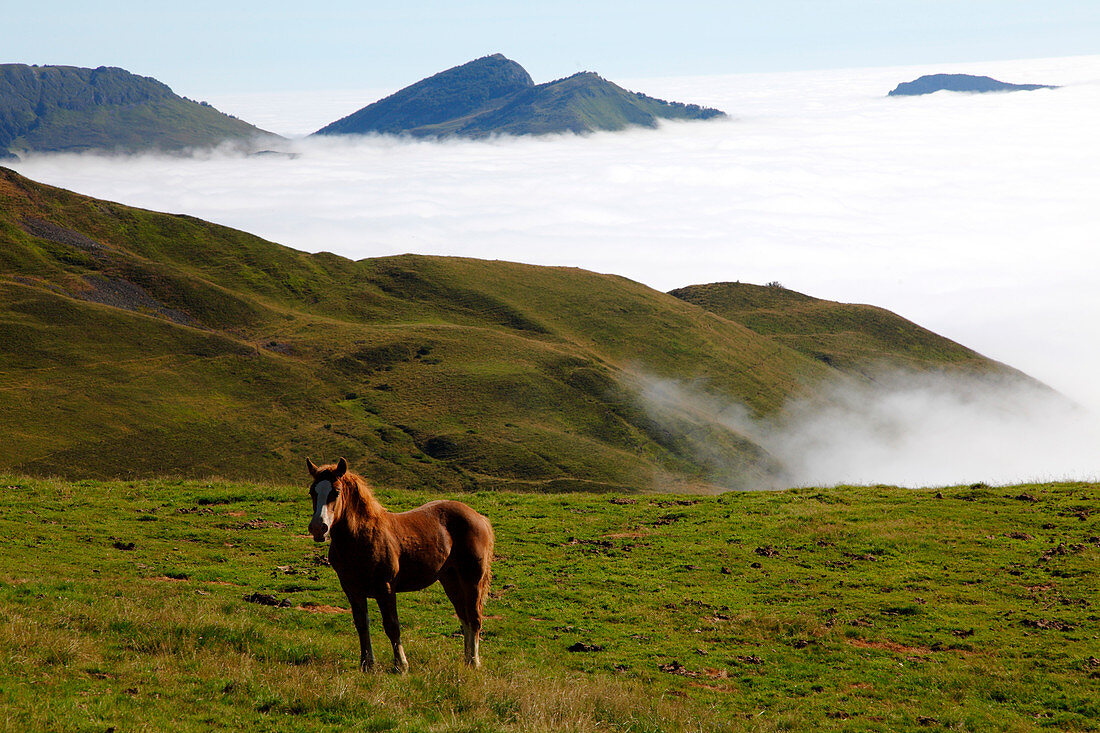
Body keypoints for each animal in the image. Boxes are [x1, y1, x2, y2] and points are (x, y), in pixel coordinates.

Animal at [305, 460, 495, 669]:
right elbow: (361, 624)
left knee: (475, 618)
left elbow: (392, 625)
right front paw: (367, 664)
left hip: (472, 580)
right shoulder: (352, 589)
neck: (362, 537)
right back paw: (467, 660)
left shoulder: (385, 587)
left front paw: (401, 665)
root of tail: (479, 517)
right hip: (451, 580)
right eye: (312, 491)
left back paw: (474, 662)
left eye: (336, 492)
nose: (318, 527)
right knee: (464, 617)